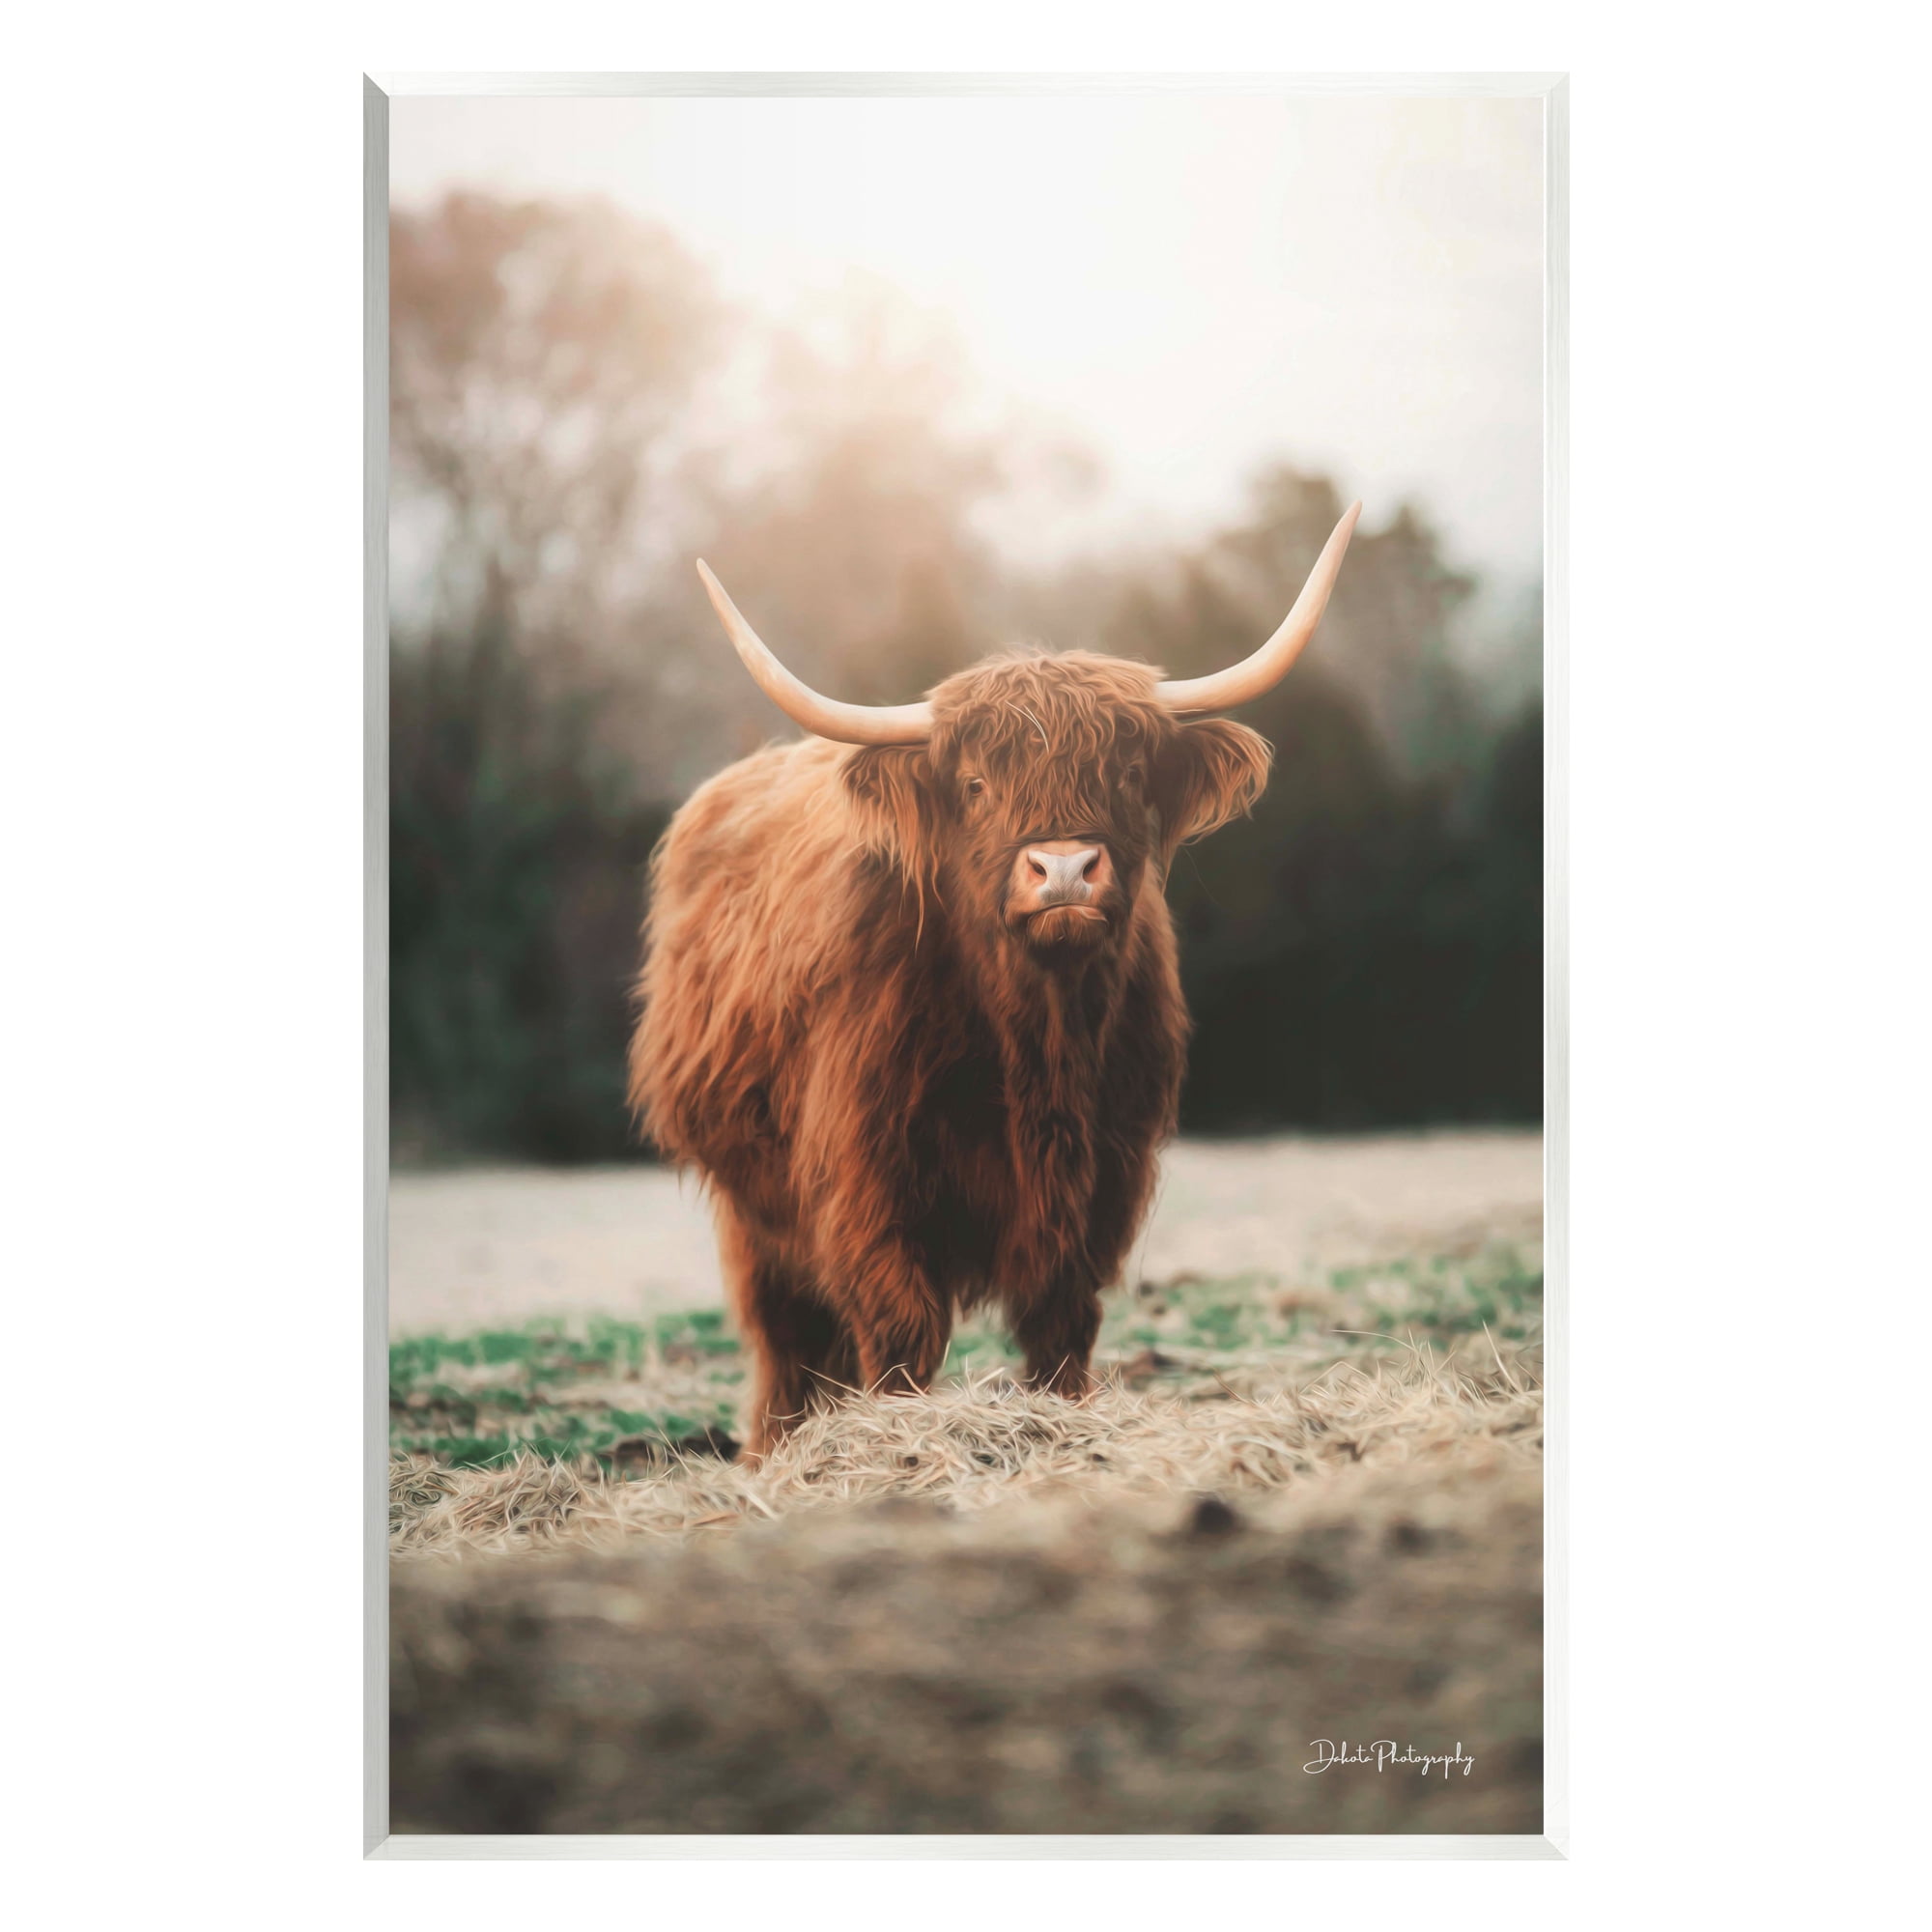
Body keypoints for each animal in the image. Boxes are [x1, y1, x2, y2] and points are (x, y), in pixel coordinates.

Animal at [629, 504, 1360, 1462]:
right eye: (976, 784)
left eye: (1129, 774)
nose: (1064, 869)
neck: (1038, 1036)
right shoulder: (865, 1177)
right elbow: (900, 1327)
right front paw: (899, 1440)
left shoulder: (1103, 1176)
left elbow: (1062, 1323)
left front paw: (1061, 1423)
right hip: (750, 1201)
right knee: (783, 1334)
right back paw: (774, 1452)